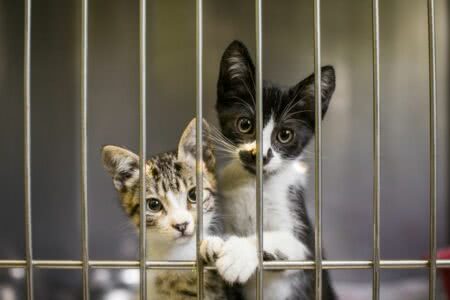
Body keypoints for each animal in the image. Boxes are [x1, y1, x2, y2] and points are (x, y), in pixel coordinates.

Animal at [201, 40, 338, 300]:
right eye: (245, 124)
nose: (260, 155)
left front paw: (239, 254)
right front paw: (211, 240)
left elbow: (274, 238)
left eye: (285, 135)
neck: (254, 184)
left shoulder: (306, 246)